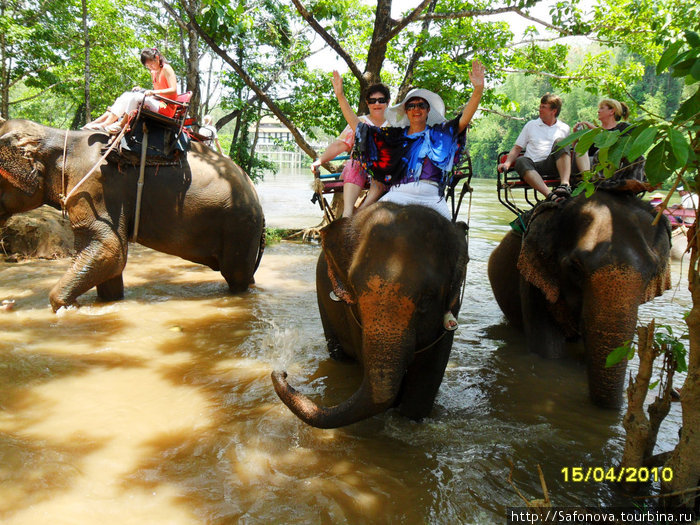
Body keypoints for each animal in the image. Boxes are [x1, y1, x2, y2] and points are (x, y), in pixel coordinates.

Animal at [0, 116, 266, 310]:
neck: (58, 139)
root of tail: (255, 194)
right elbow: (111, 261)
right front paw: (106, 303)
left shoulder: (95, 188)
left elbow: (110, 249)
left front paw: (67, 307)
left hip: (239, 227)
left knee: (236, 275)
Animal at [270, 203, 468, 428]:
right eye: (354, 291)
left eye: (428, 298)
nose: (282, 372)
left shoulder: (452, 309)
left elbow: (428, 375)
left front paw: (409, 418)